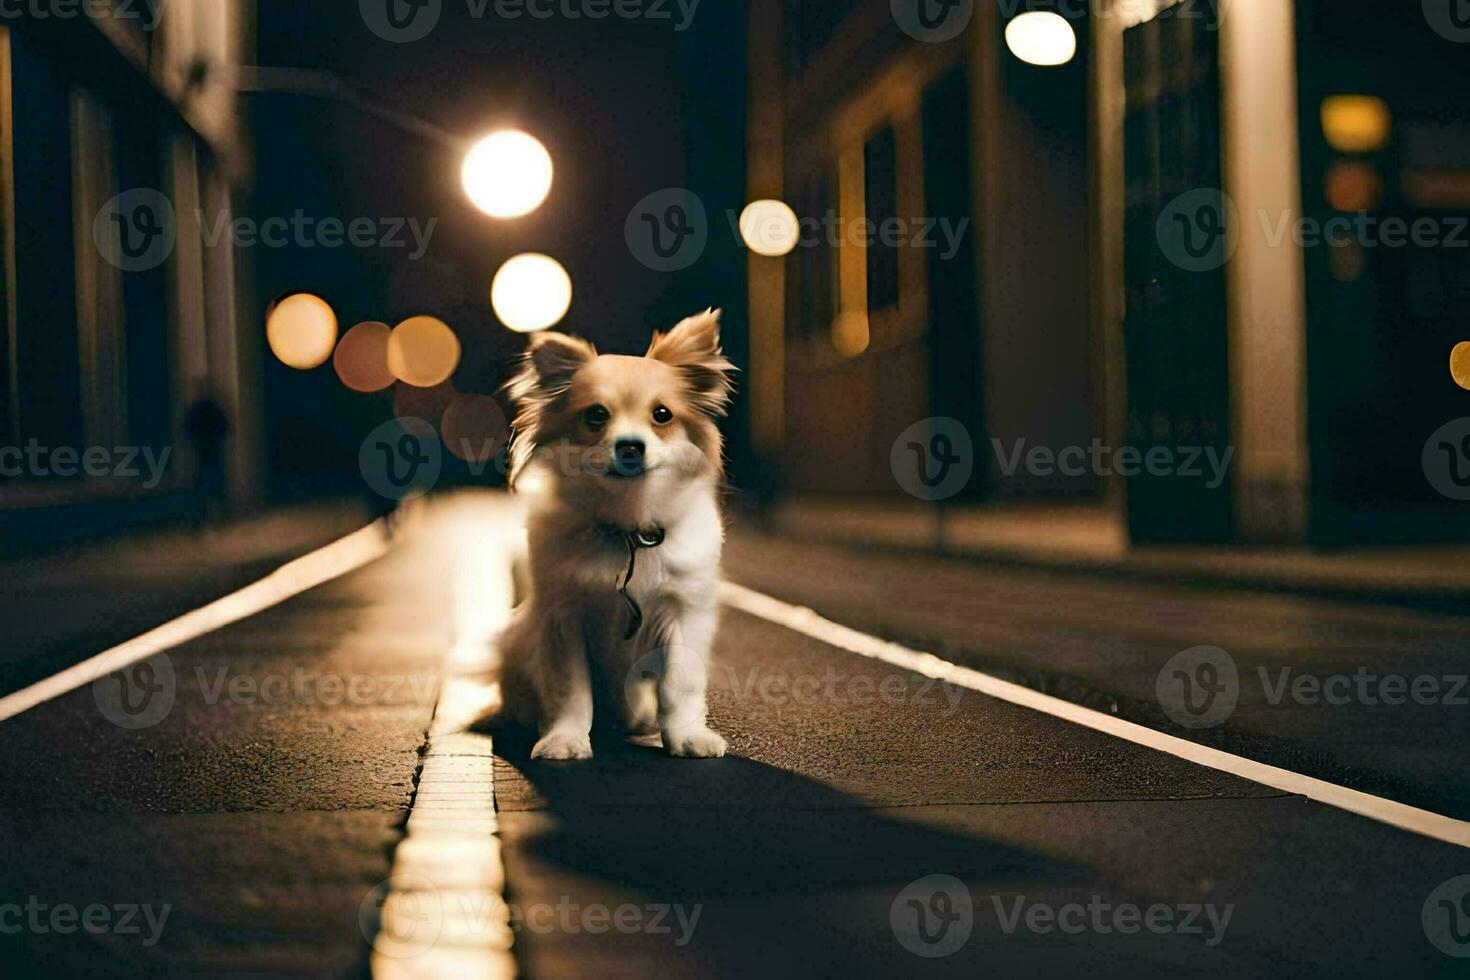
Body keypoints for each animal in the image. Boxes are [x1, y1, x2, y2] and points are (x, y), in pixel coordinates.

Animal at [499, 310, 740, 764]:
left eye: (662, 414)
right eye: (596, 415)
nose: (630, 446)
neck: (627, 527)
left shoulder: (684, 613)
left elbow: (679, 685)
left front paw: (687, 737)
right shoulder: (563, 620)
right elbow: (571, 691)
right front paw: (565, 739)